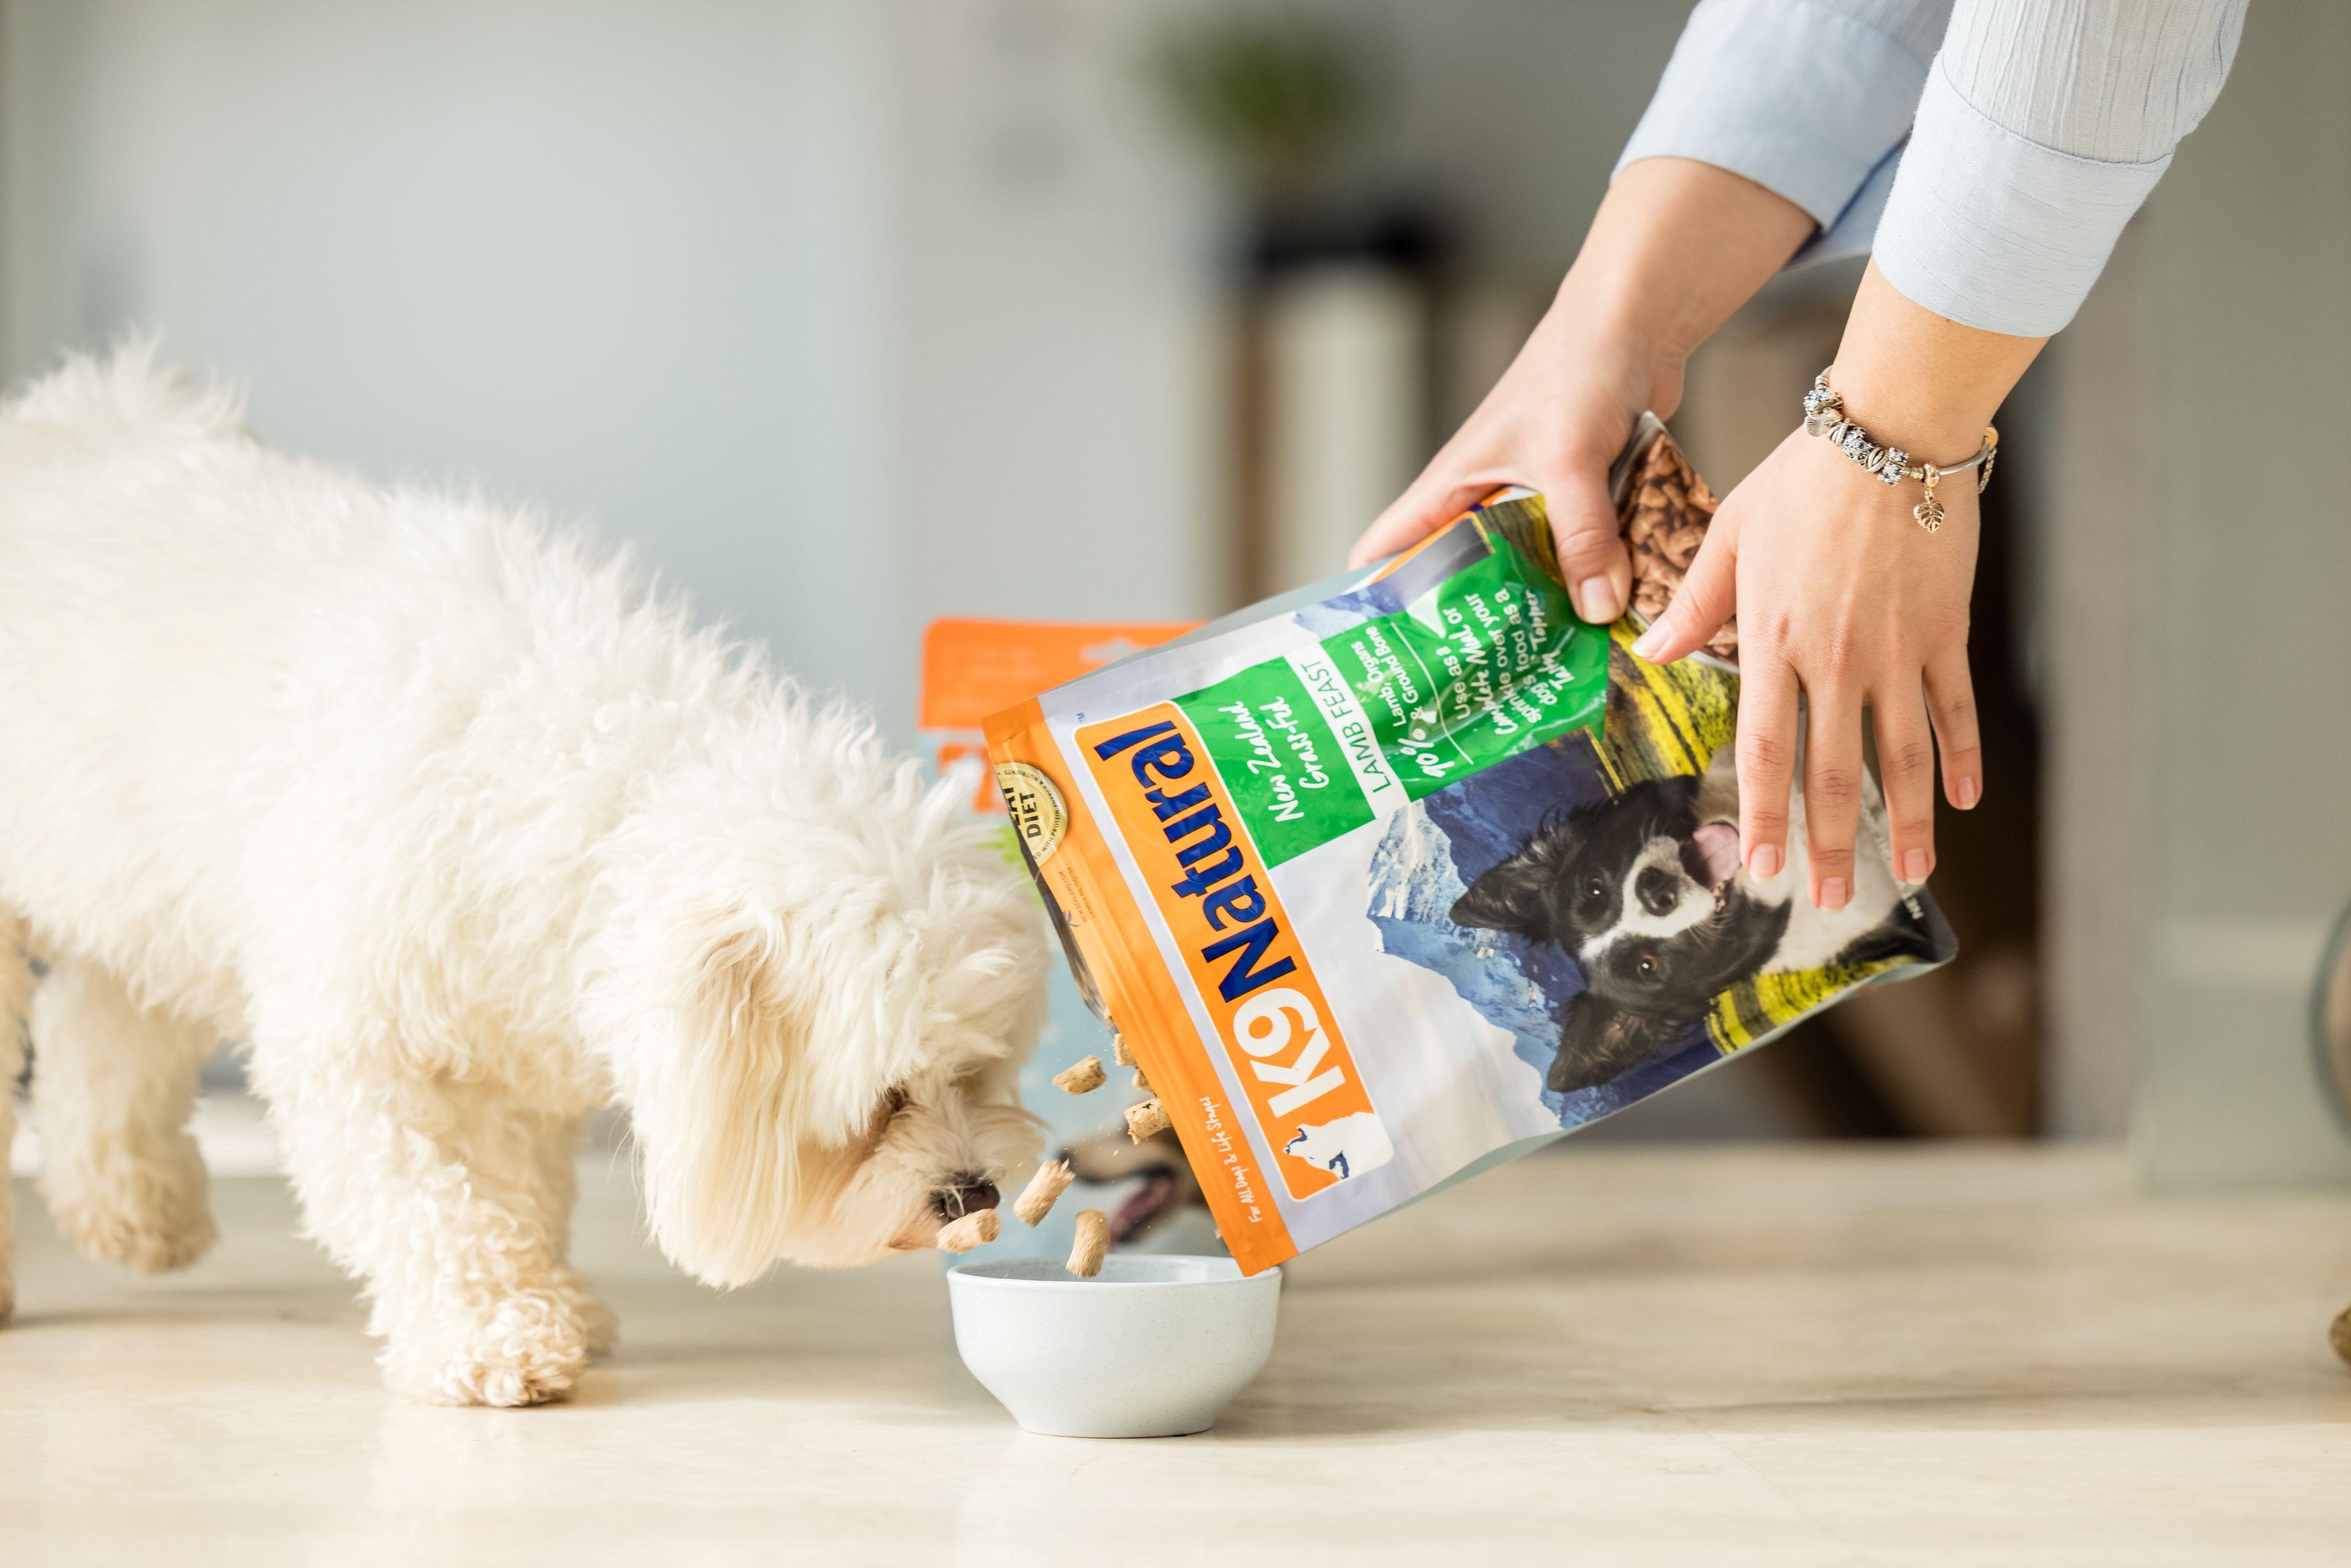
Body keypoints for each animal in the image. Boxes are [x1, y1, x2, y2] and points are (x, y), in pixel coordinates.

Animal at [0, 353, 1048, 1410]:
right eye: (882, 1101)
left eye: (976, 1071)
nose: (975, 1193)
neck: (597, 783)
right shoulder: (356, 1043)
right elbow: (426, 1201)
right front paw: (493, 1332)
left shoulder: (504, 1047)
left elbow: (519, 1191)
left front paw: (556, 1299)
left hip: (137, 886)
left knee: (102, 1032)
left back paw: (136, 1208)